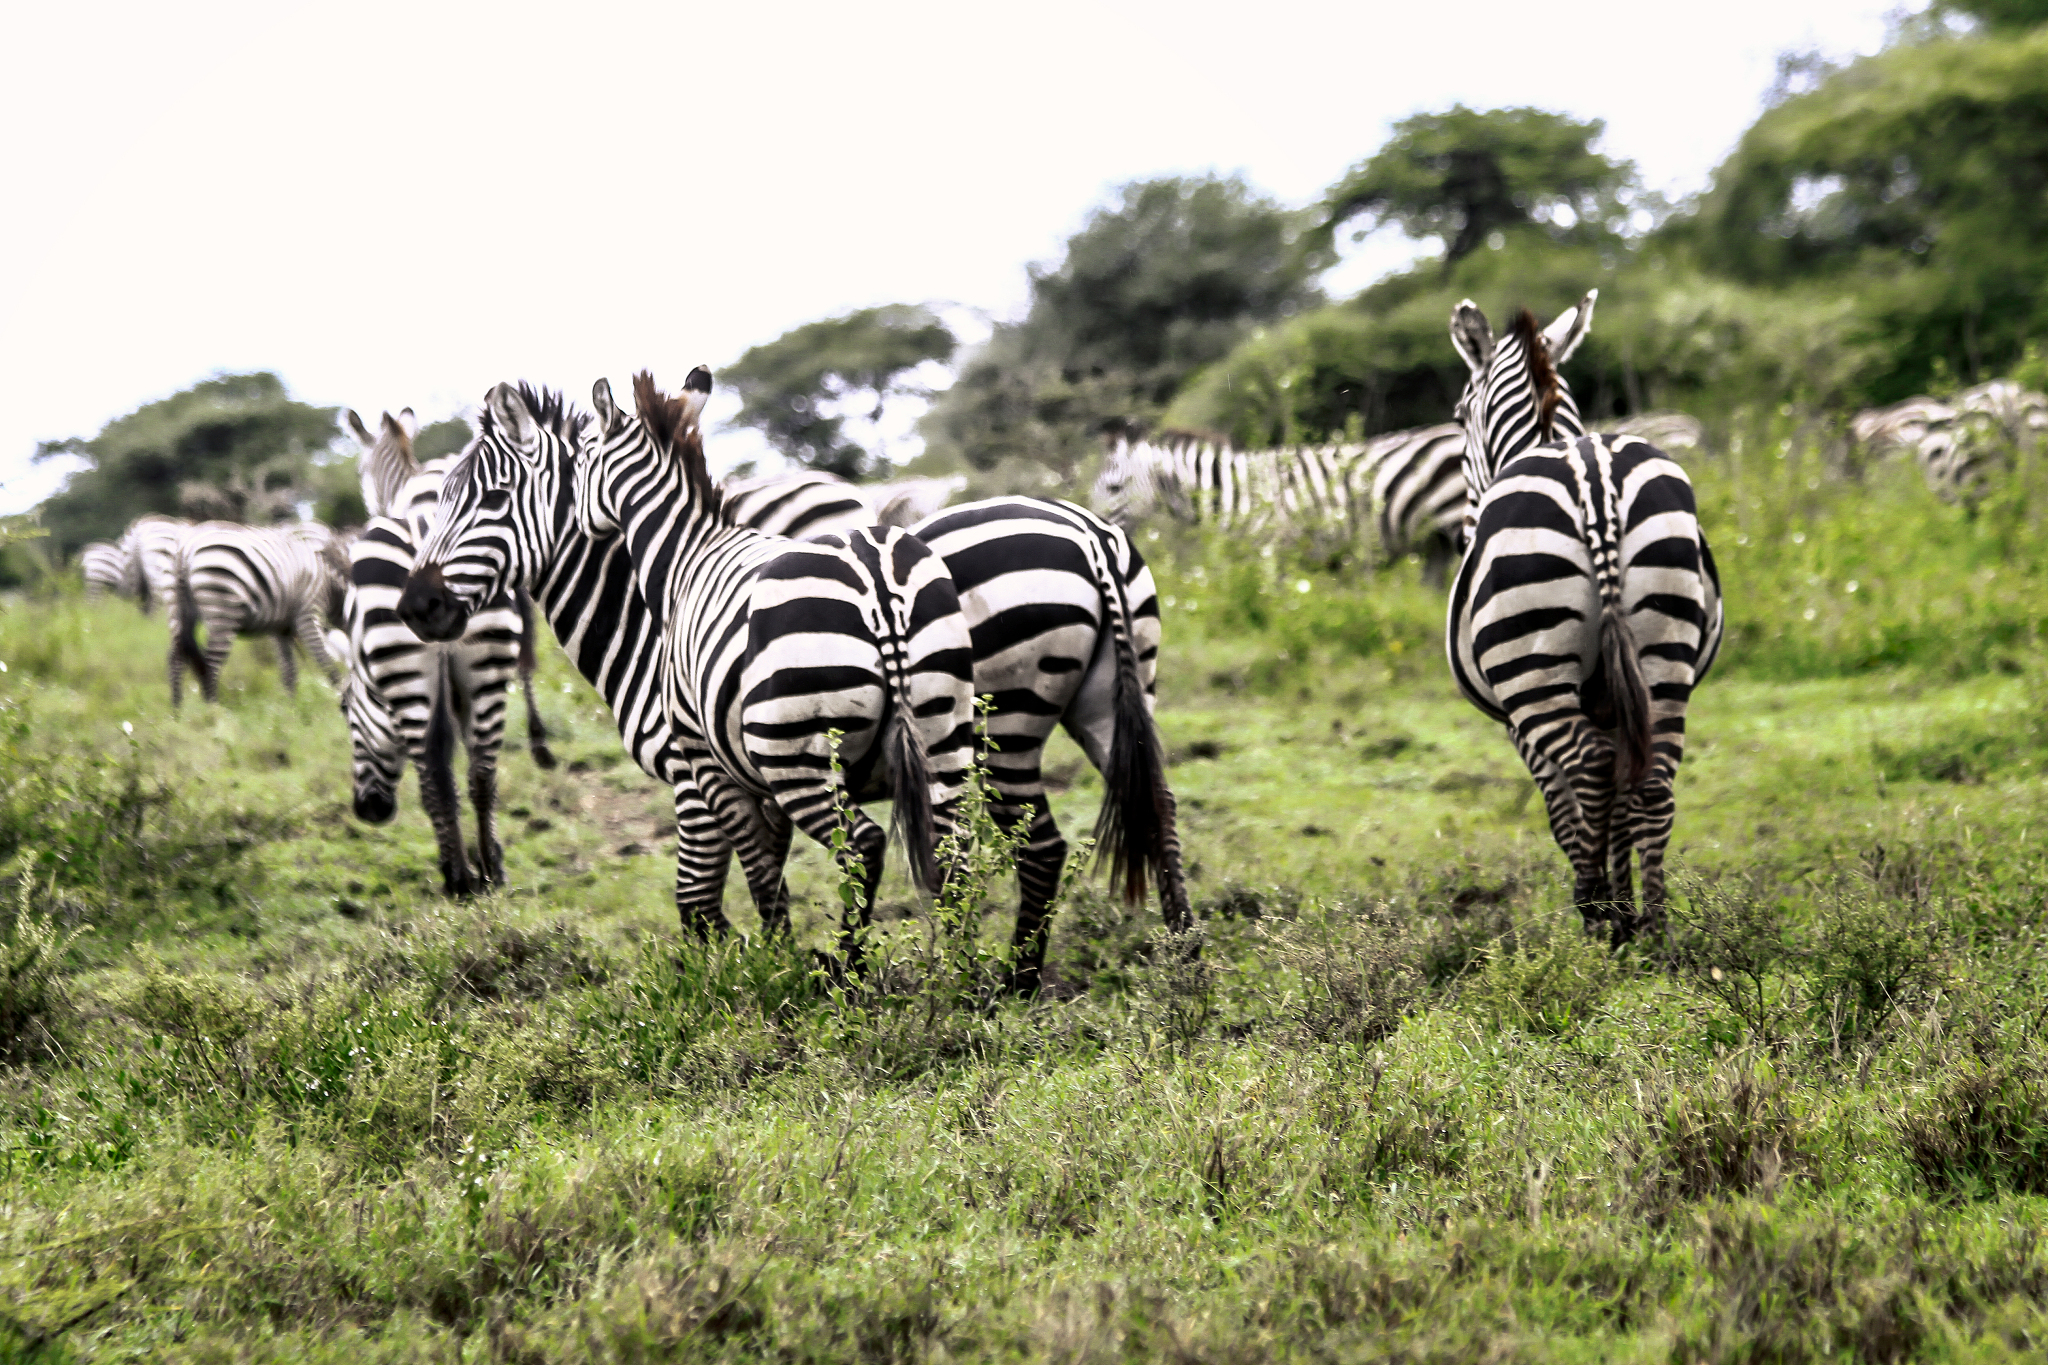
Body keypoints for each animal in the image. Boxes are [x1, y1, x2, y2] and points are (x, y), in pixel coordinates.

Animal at [170, 521, 348, 706]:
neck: (330, 579)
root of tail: (186, 549)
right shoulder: (307, 613)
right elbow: (325, 660)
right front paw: (342, 698)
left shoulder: (282, 628)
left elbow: (289, 671)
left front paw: (291, 707)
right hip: (223, 609)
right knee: (210, 663)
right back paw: (213, 708)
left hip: (182, 607)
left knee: (176, 656)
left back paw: (177, 710)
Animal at [398, 375, 977, 960]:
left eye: (491, 499)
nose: (415, 607)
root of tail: (874, 573)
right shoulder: (747, 780)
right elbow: (763, 874)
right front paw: (771, 954)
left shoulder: (693, 771)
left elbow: (701, 900)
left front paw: (764, 967)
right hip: (941, 736)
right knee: (951, 856)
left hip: (800, 756)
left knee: (864, 845)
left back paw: (849, 966)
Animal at [1446, 290, 1723, 944]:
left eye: (1458, 414)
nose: (1465, 529)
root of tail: (1594, 480)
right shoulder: (1614, 699)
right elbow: (1622, 802)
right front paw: (1626, 907)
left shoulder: (1518, 726)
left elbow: (1561, 807)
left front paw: (1607, 906)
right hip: (1663, 652)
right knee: (1653, 784)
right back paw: (1655, 932)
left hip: (1531, 671)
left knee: (1591, 767)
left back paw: (1596, 906)